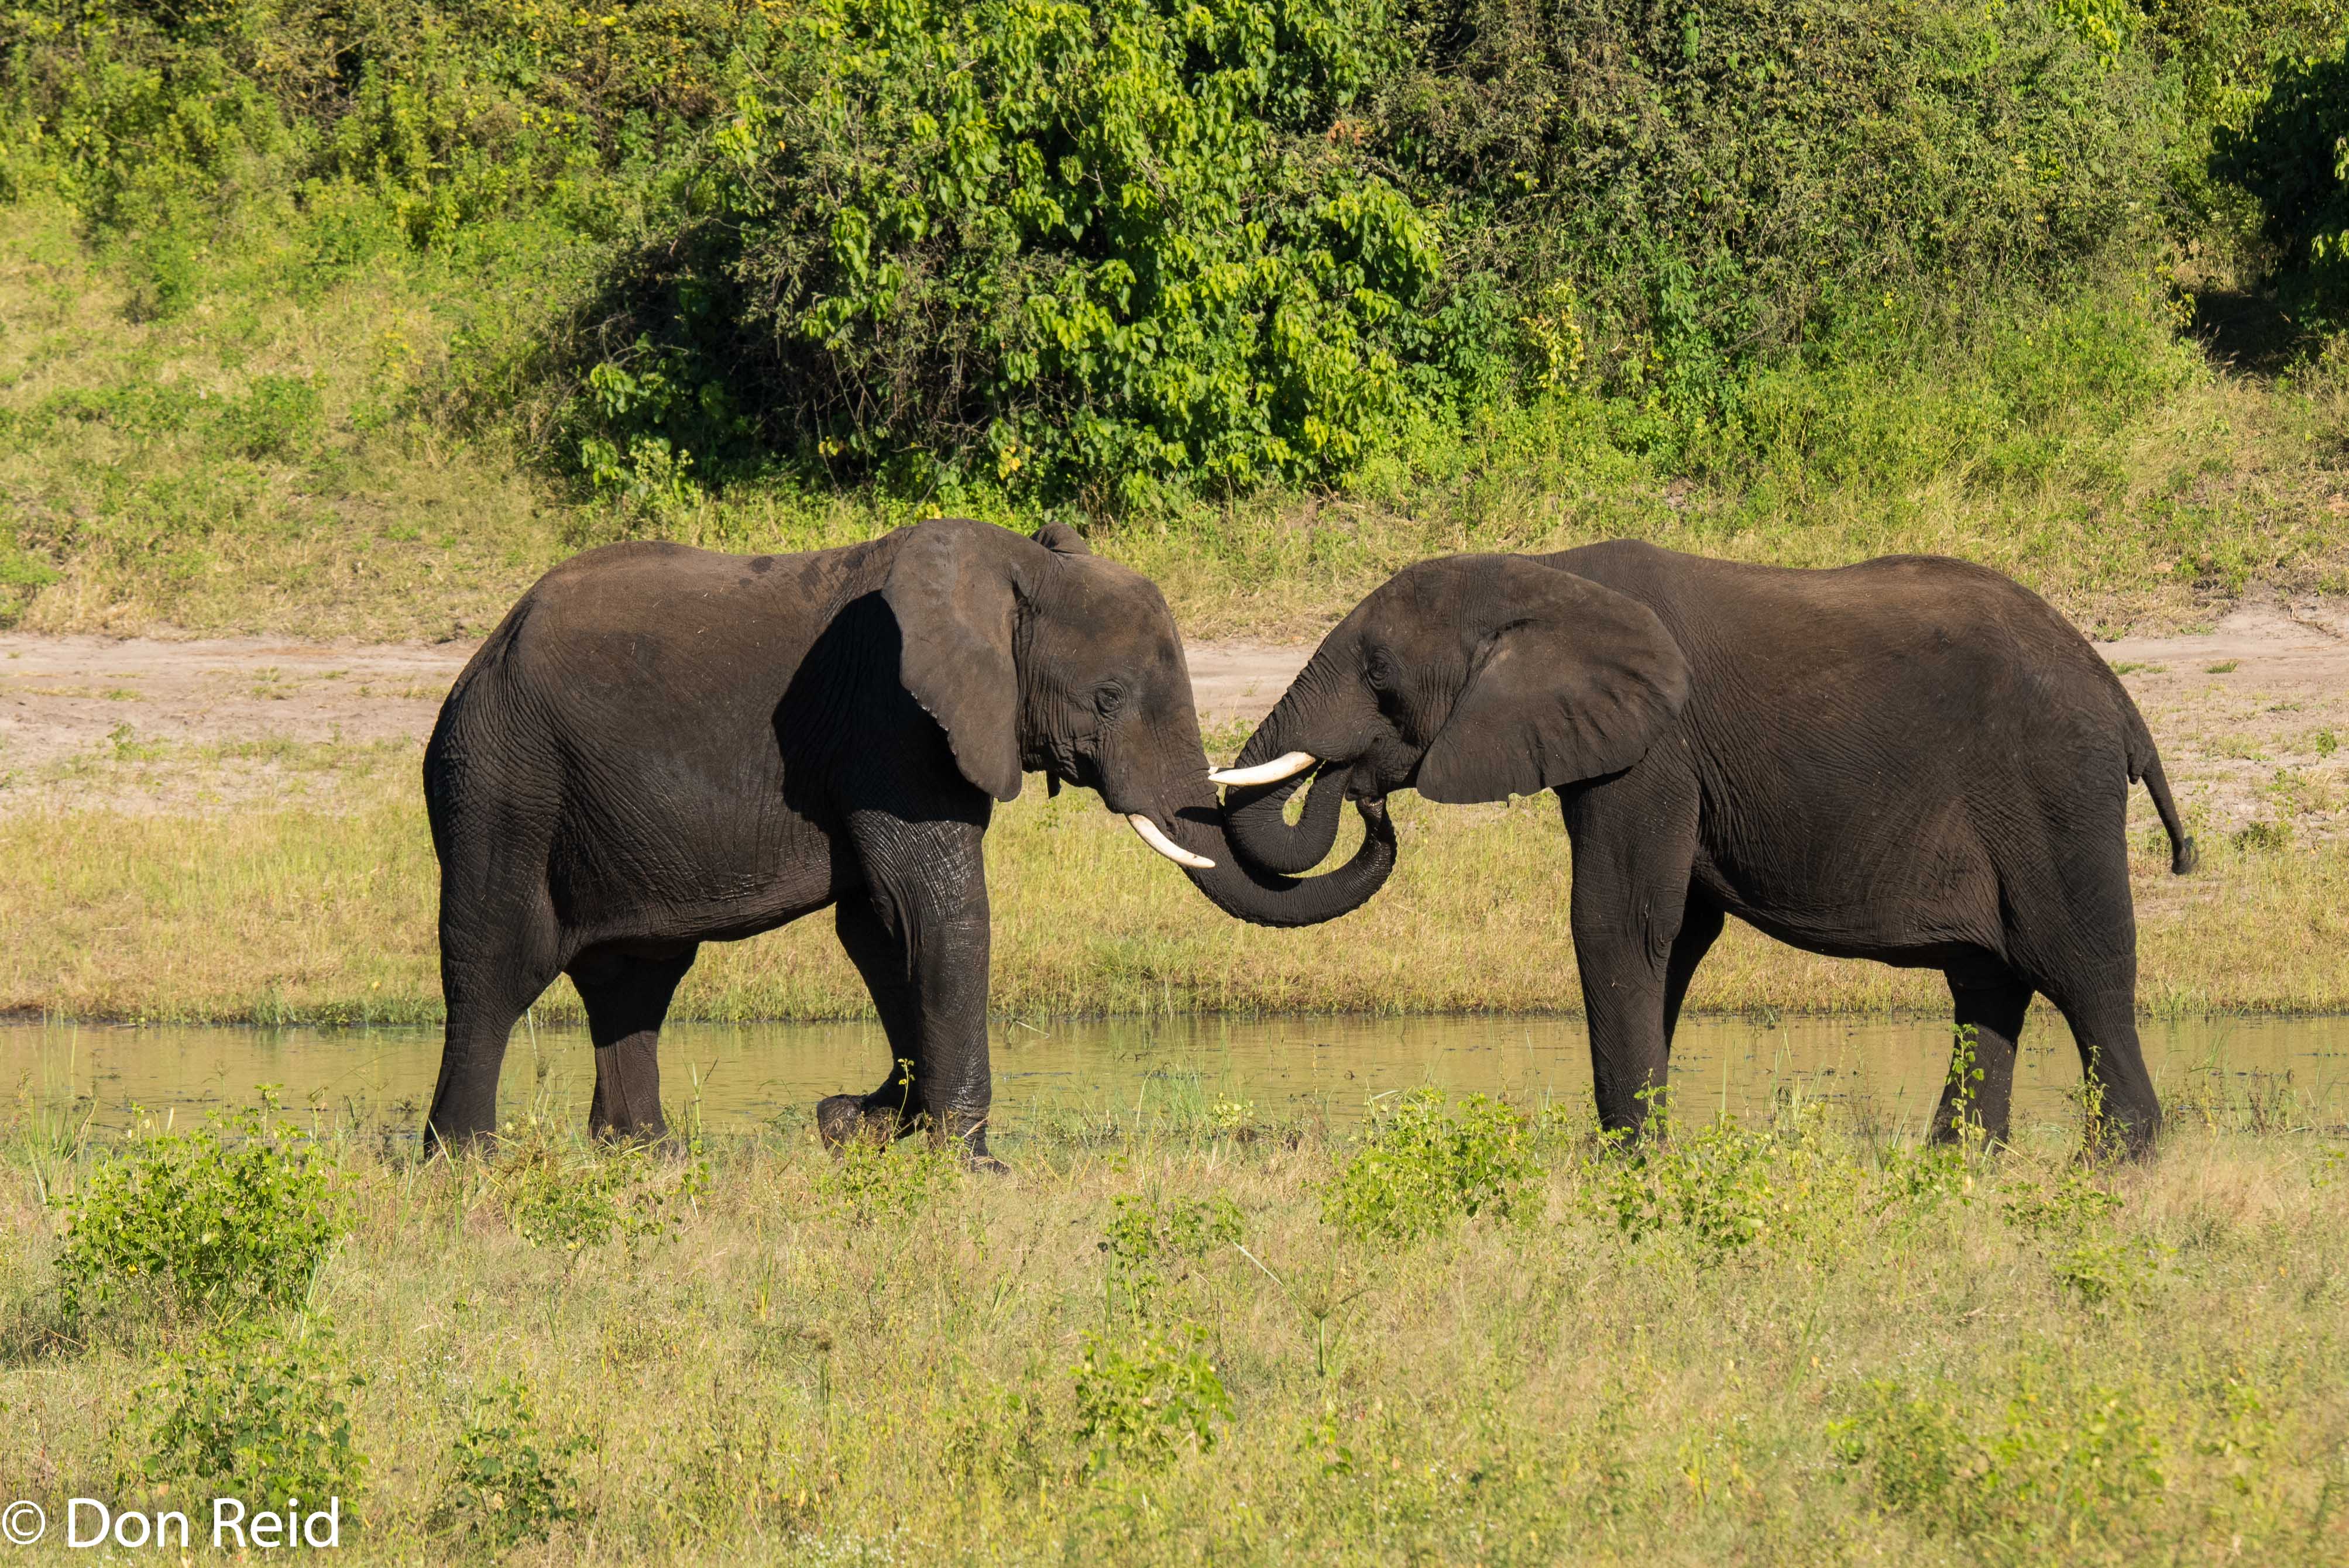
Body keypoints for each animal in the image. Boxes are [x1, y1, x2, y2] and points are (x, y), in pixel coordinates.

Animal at [421, 518, 1392, 1161]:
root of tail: (482, 653)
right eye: (1109, 698)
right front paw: (965, 1160)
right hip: (501, 778)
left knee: (637, 978)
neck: (1009, 570)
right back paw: (467, 1166)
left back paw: (643, 1158)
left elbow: (882, 929)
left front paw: (868, 1123)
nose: (1369, 790)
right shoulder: (891, 720)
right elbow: (936, 911)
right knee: (497, 964)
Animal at [1208, 541, 2196, 1154]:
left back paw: (2113, 1167)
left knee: (2080, 969)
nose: (1365, 795)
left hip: (2055, 790)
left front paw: (1629, 1165)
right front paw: (1635, 1148)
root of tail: (2119, 696)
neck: (1541, 575)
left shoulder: (1655, 751)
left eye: (1377, 675)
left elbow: (1618, 924)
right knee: (1987, 985)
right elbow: (1673, 937)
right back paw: (1954, 1166)